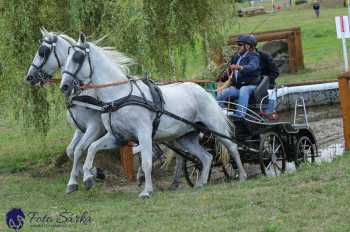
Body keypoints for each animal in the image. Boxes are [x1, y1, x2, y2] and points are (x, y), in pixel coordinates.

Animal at [60, 32, 246, 198]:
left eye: (77, 57)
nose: (64, 86)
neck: (120, 95)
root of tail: (204, 90)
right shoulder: (117, 137)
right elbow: (91, 148)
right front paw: (88, 178)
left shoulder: (144, 133)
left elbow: (146, 162)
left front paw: (146, 191)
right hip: (186, 137)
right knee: (206, 157)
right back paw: (201, 183)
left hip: (214, 127)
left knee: (232, 147)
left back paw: (242, 175)